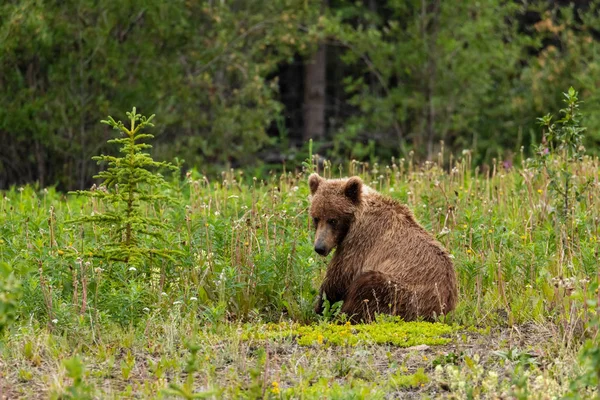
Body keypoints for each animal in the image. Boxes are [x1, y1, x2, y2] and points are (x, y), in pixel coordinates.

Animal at [310, 173, 460, 322]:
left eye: (333, 220)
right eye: (316, 218)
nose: (320, 247)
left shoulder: (360, 241)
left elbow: (339, 276)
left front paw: (320, 308)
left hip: (408, 295)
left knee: (368, 286)